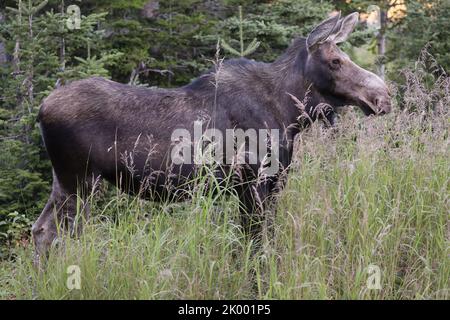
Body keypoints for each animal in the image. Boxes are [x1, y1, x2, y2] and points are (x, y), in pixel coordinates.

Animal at [31, 12, 390, 256]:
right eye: (335, 61)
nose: (382, 95)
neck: (289, 115)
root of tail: (41, 109)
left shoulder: (268, 183)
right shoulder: (253, 180)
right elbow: (255, 243)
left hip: (63, 181)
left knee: (40, 230)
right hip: (80, 180)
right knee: (59, 236)